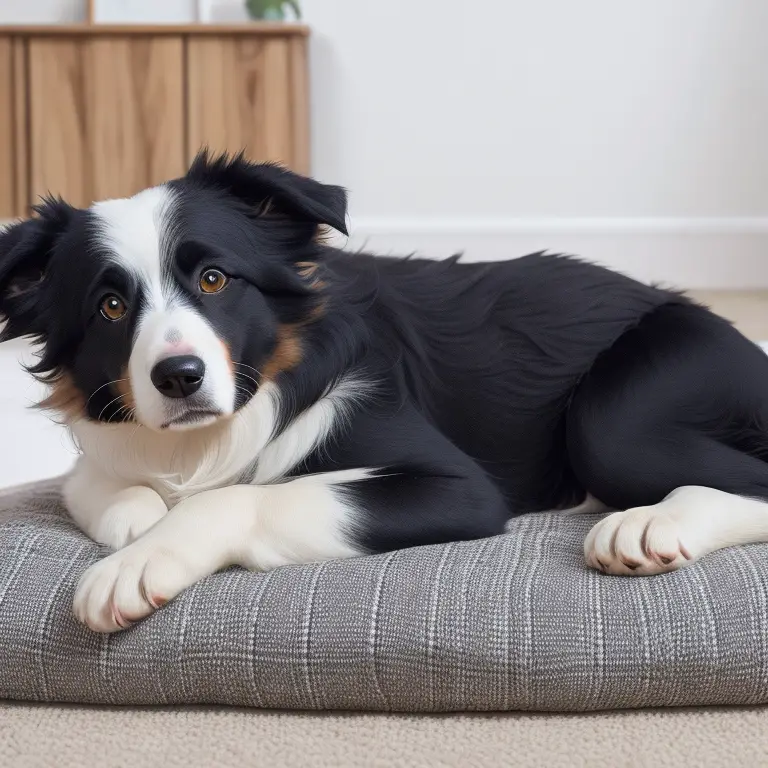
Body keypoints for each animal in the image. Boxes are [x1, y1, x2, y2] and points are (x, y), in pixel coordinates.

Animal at [1, 150, 768, 632]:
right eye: (110, 307)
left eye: (214, 279)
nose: (179, 376)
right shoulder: (104, 452)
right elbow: (94, 485)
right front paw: (138, 520)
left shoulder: (456, 483)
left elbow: (246, 497)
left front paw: (142, 561)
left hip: (627, 408)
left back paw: (652, 524)